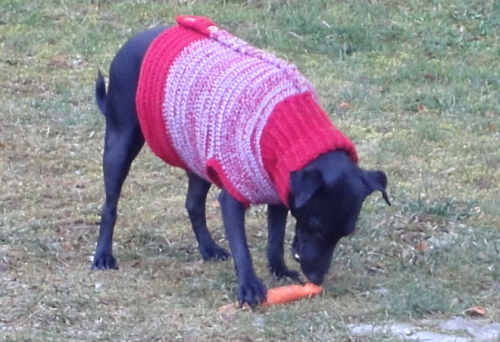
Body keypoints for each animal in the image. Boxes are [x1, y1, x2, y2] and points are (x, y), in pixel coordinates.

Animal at [94, 17, 390, 306]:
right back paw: (103, 256)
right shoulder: (233, 198)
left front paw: (279, 269)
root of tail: (134, 40)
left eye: (346, 232)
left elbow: (275, 239)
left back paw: (208, 248)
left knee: (193, 204)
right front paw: (249, 287)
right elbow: (242, 247)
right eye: (314, 226)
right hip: (121, 143)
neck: (294, 134)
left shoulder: (279, 193)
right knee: (110, 206)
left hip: (195, 154)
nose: (316, 278)